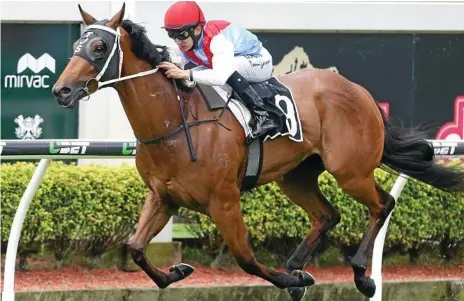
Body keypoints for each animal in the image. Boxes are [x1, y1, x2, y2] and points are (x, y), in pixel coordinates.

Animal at [51, 4, 464, 300]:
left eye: (100, 47)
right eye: (75, 46)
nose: (62, 91)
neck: (176, 123)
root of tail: (359, 91)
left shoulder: (224, 200)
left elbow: (246, 259)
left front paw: (289, 280)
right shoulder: (163, 196)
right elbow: (135, 247)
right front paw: (177, 272)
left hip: (352, 171)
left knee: (382, 205)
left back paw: (362, 274)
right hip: (296, 176)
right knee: (327, 215)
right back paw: (298, 265)